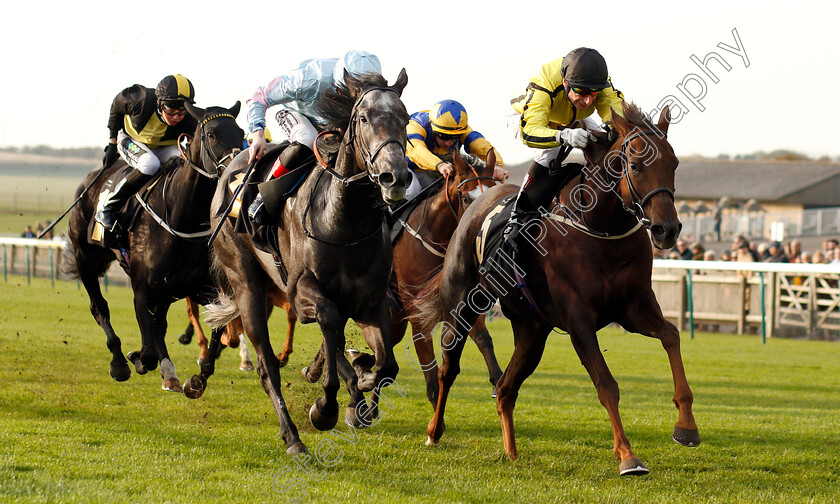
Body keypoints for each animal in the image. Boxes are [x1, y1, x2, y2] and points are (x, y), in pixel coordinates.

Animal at [63, 102, 244, 392]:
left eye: (241, 132)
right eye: (212, 134)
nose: (238, 167)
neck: (181, 218)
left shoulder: (200, 288)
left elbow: (216, 327)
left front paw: (197, 377)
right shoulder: (142, 289)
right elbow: (148, 348)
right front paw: (141, 360)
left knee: (158, 324)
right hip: (85, 259)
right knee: (99, 307)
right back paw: (120, 362)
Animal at [412, 104, 696, 474]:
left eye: (673, 163)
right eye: (635, 164)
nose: (667, 229)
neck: (601, 228)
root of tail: (477, 202)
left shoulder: (634, 308)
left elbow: (671, 336)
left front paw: (686, 426)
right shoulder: (578, 320)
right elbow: (606, 384)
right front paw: (628, 455)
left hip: (532, 329)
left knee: (506, 388)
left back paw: (511, 452)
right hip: (462, 307)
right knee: (449, 369)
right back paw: (434, 431)